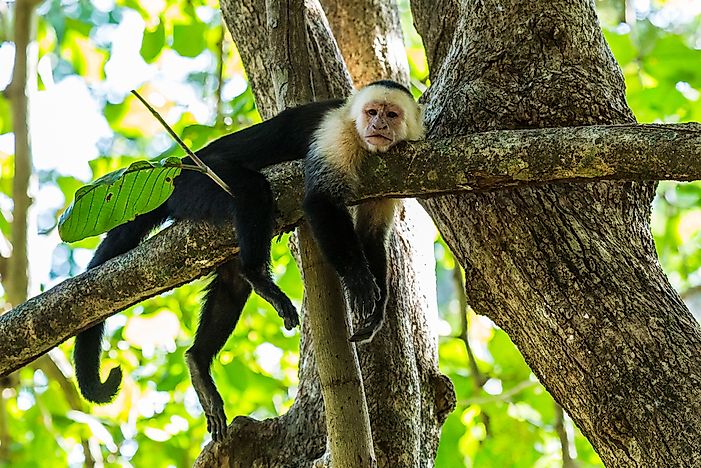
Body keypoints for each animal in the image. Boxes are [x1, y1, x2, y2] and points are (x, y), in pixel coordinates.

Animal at [73, 80, 424, 442]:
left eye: (392, 114)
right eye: (372, 112)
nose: (378, 125)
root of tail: (177, 168)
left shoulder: (388, 180)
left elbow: (371, 236)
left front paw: (377, 311)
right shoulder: (336, 134)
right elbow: (320, 202)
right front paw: (358, 282)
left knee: (231, 283)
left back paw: (199, 362)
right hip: (196, 183)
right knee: (252, 189)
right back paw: (258, 276)